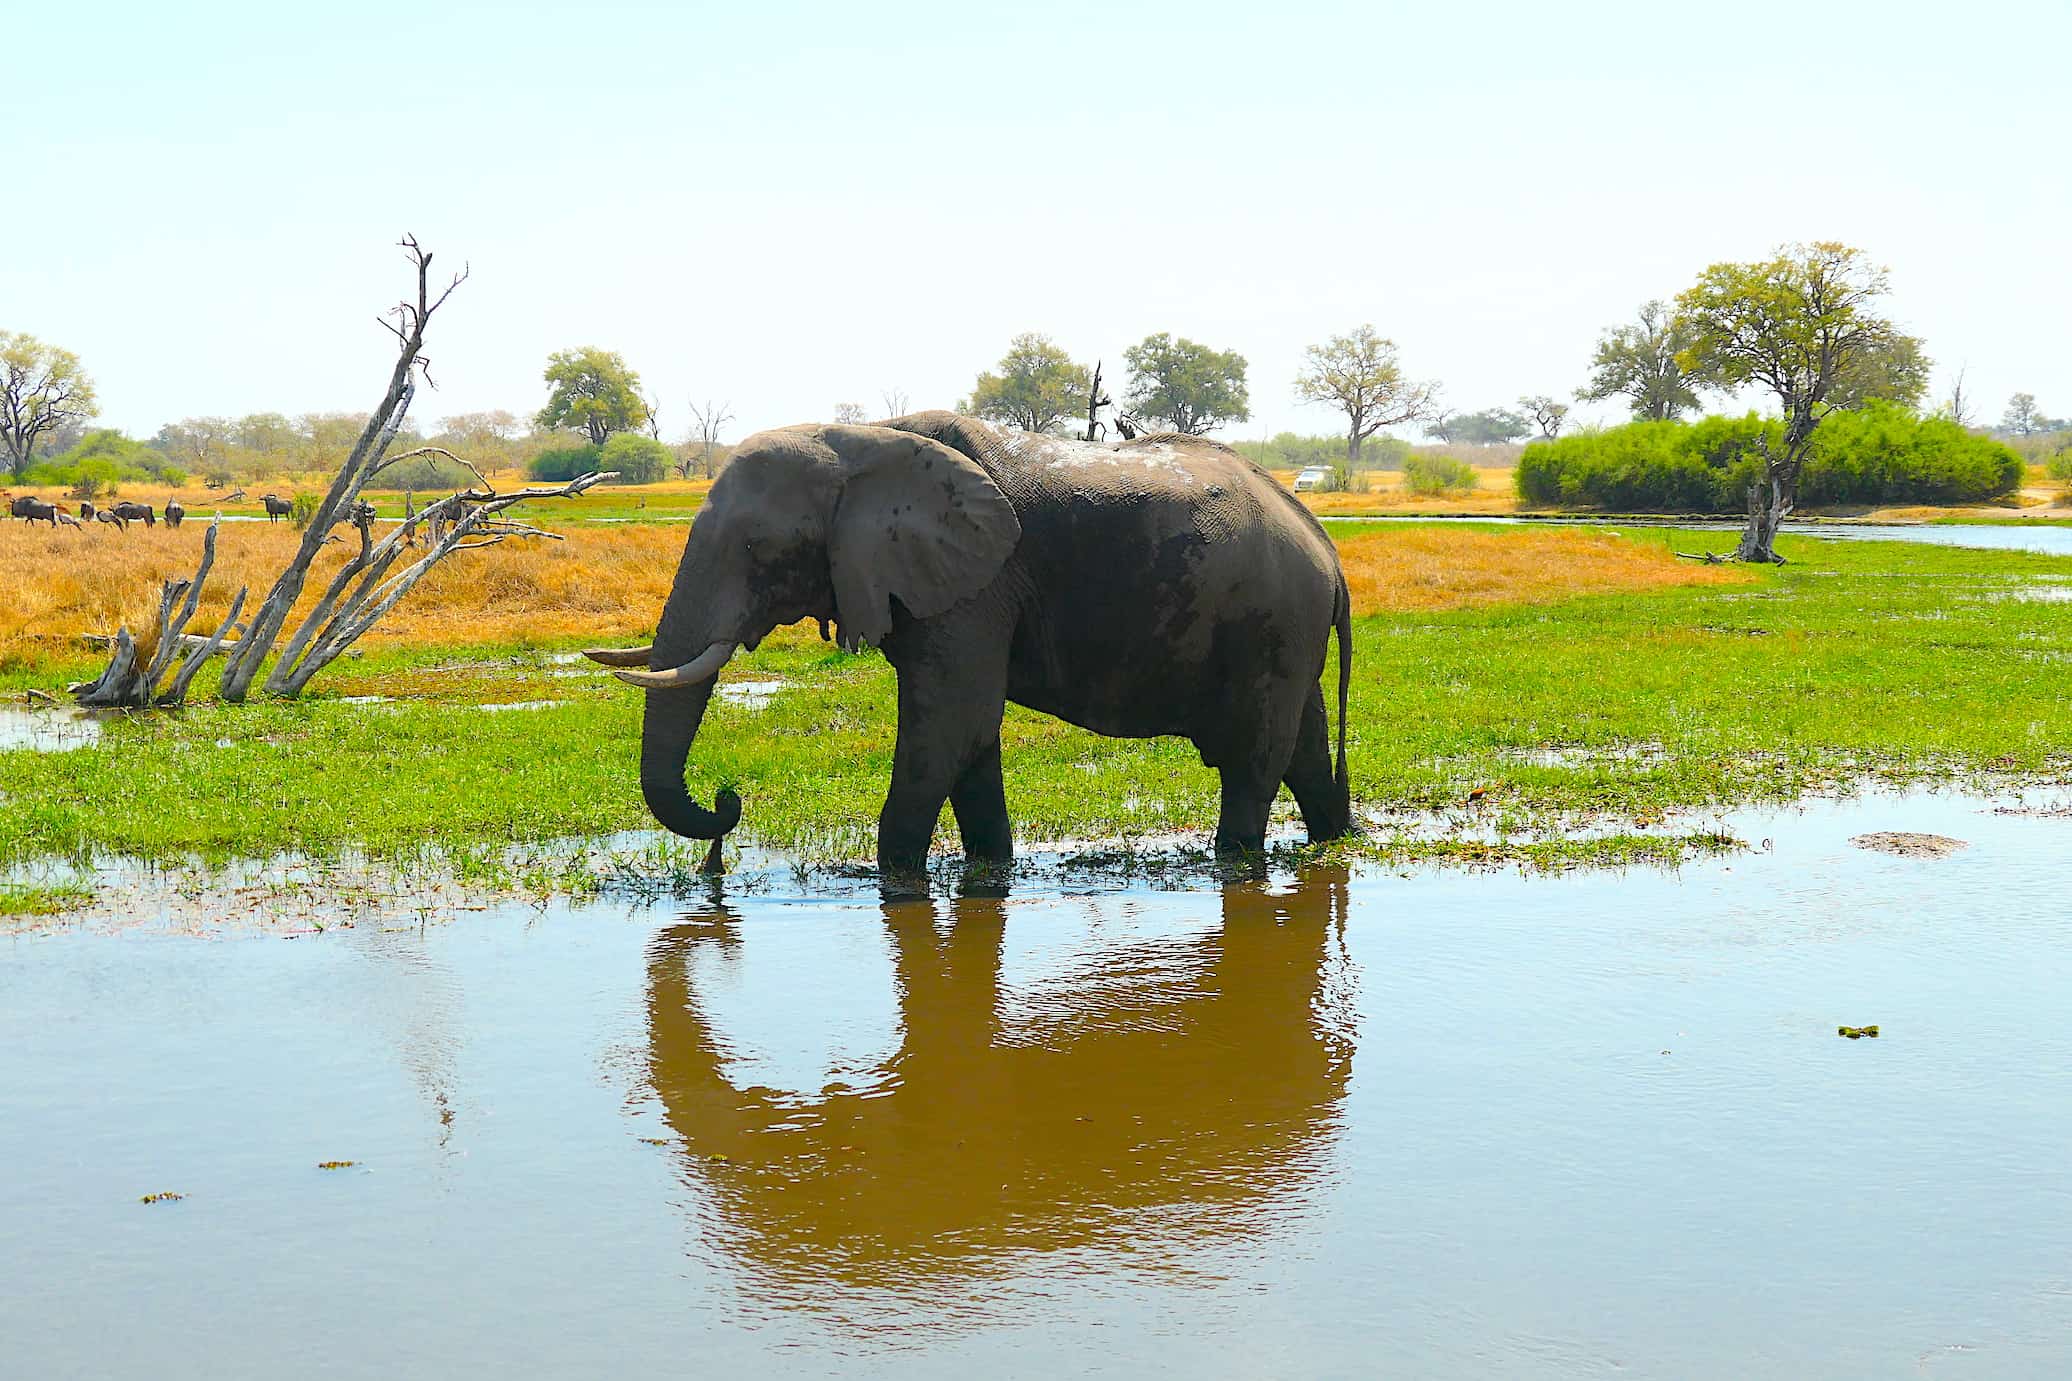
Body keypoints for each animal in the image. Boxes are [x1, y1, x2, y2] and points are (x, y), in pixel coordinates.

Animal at [589, 412, 1355, 873]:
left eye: (755, 547)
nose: (727, 810)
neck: (860, 438)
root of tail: (1324, 543)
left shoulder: (979, 586)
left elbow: (948, 729)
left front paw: (898, 881)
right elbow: (972, 739)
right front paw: (990, 871)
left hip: (1273, 622)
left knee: (1252, 761)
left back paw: (1237, 861)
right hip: (1288, 630)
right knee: (1307, 752)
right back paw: (1333, 840)